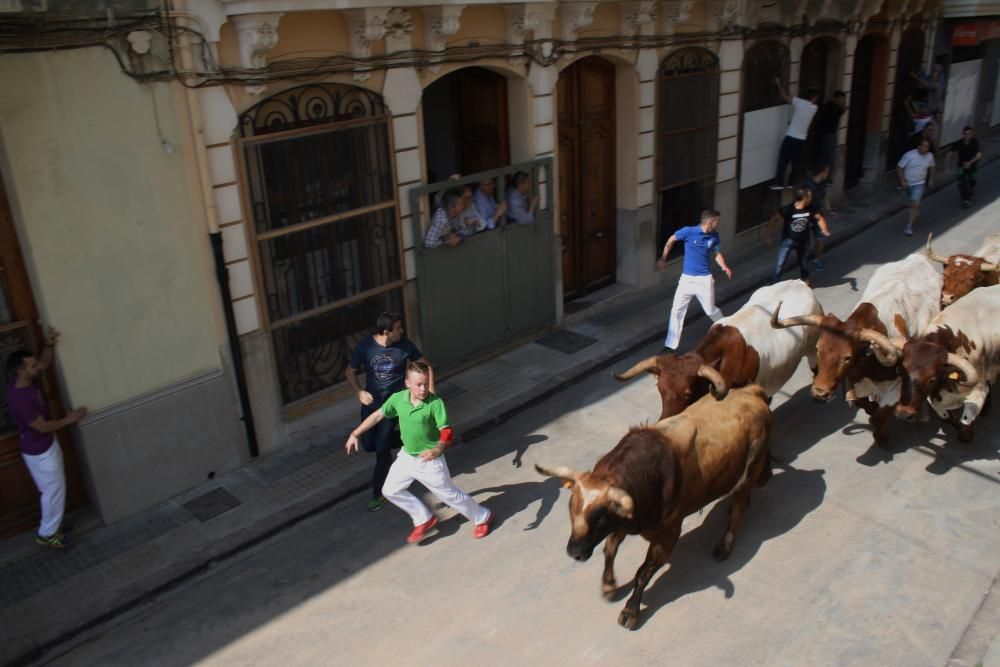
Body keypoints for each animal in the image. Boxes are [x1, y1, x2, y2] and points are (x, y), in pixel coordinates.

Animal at [536, 386, 768, 632]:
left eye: (599, 518)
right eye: (571, 508)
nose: (574, 552)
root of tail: (753, 391)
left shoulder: (667, 535)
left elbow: (642, 572)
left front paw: (630, 611)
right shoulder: (624, 520)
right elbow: (610, 549)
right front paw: (609, 586)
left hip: (750, 469)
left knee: (740, 507)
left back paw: (725, 544)